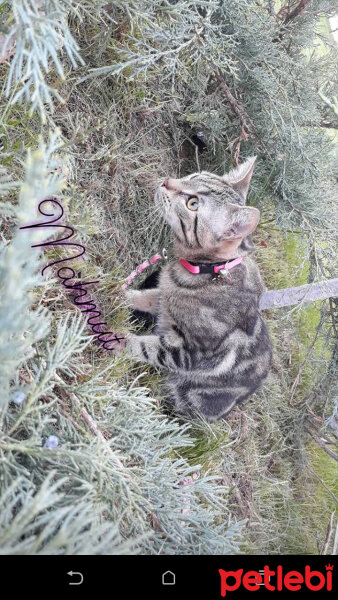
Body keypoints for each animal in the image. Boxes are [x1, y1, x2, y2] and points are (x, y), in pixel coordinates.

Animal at [126, 159, 272, 422]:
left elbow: (144, 347)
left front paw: (113, 339)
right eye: (192, 176)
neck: (207, 271)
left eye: (192, 203)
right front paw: (114, 291)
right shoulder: (163, 297)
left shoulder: (187, 352)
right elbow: (141, 297)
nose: (167, 181)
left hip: (187, 394)